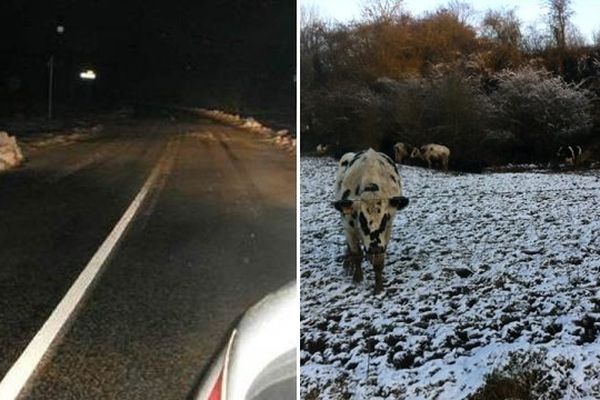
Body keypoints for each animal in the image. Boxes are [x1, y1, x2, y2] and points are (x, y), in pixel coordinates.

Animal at [330, 148, 410, 292]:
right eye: (361, 218)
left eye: (385, 218)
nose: (374, 248)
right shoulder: (348, 226)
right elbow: (356, 254)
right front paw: (357, 278)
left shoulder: (387, 230)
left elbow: (379, 261)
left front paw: (379, 287)